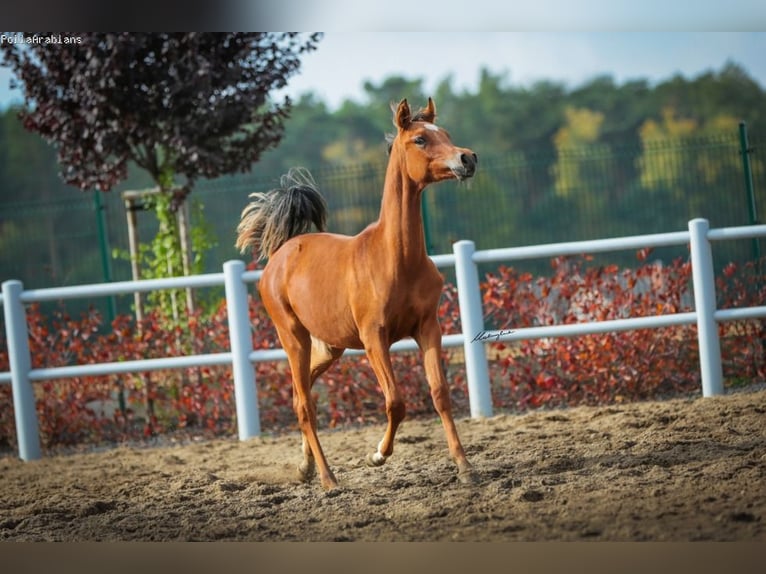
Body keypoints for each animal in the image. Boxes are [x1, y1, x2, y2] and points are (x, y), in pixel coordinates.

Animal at [238, 98, 480, 490]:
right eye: (420, 139)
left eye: (445, 133)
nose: (467, 159)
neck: (397, 258)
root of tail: (281, 252)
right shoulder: (373, 338)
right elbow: (396, 402)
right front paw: (376, 455)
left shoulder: (428, 328)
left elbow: (440, 394)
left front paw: (465, 467)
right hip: (293, 338)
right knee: (305, 405)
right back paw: (327, 478)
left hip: (329, 347)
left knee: (302, 392)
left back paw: (305, 467)